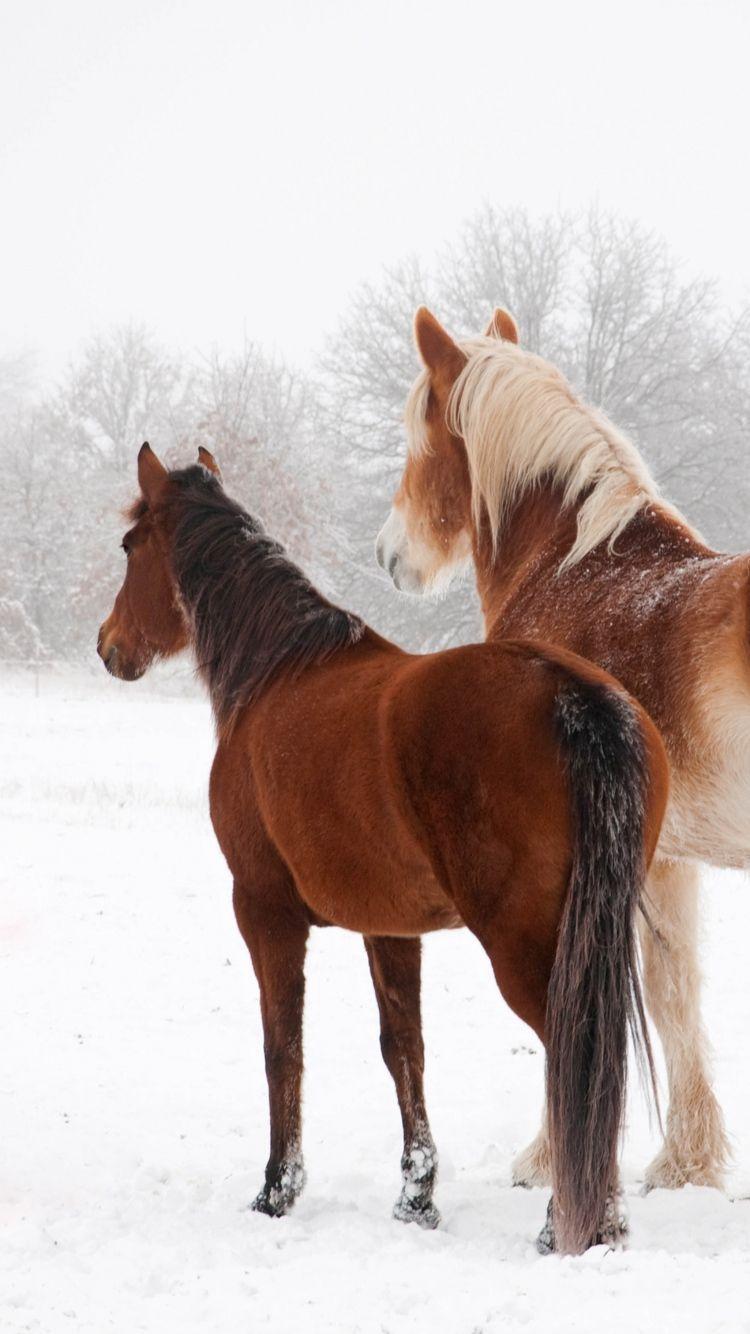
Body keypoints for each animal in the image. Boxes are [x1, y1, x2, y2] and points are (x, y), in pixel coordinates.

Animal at [98, 442, 668, 1255]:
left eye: (129, 545)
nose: (109, 648)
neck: (278, 673)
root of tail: (572, 694)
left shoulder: (264, 912)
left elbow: (283, 1046)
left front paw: (276, 1191)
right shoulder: (390, 927)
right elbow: (404, 1049)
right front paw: (416, 1198)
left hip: (528, 946)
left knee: (574, 1055)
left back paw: (576, 1224)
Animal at [376, 303, 749, 1196]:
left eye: (415, 435)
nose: (389, 555)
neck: (579, 575)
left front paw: (548, 1158)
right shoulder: (669, 860)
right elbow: (675, 994)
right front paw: (686, 1164)